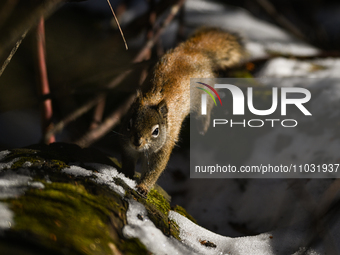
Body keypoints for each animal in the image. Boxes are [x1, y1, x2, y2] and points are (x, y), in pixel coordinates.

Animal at [119, 27, 244, 195]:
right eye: (129, 124)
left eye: (156, 131)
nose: (137, 142)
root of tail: (193, 50)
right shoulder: (127, 145)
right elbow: (128, 159)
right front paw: (126, 174)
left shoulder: (164, 147)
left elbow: (154, 170)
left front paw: (143, 187)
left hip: (204, 93)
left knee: (206, 108)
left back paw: (203, 126)